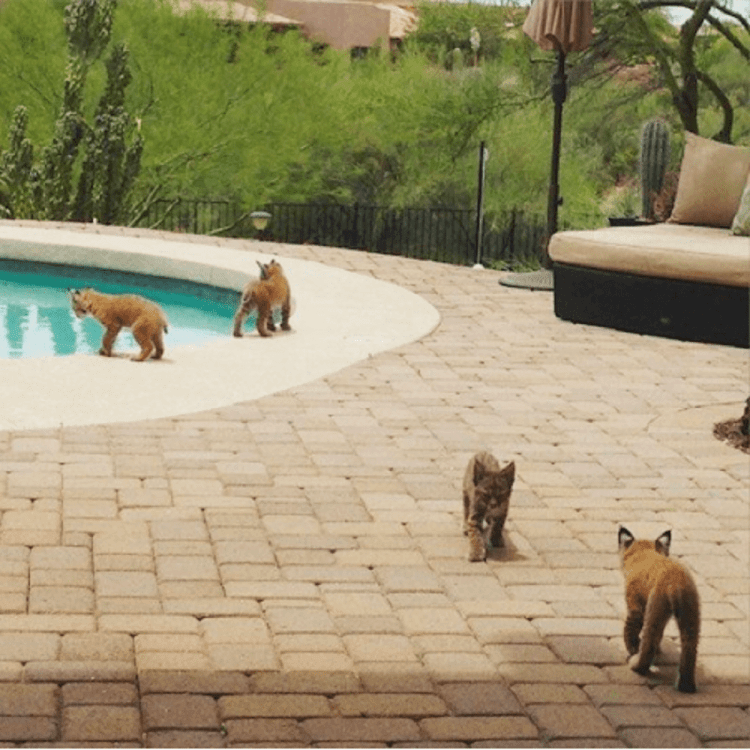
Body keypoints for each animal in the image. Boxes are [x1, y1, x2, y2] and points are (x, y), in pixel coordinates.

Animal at [620, 528, 704, 692]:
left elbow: (630, 631)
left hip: (655, 607)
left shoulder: (635, 606)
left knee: (649, 641)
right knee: (690, 646)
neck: (645, 553)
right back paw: (686, 686)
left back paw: (638, 666)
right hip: (690, 614)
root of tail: (676, 579)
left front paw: (632, 650)